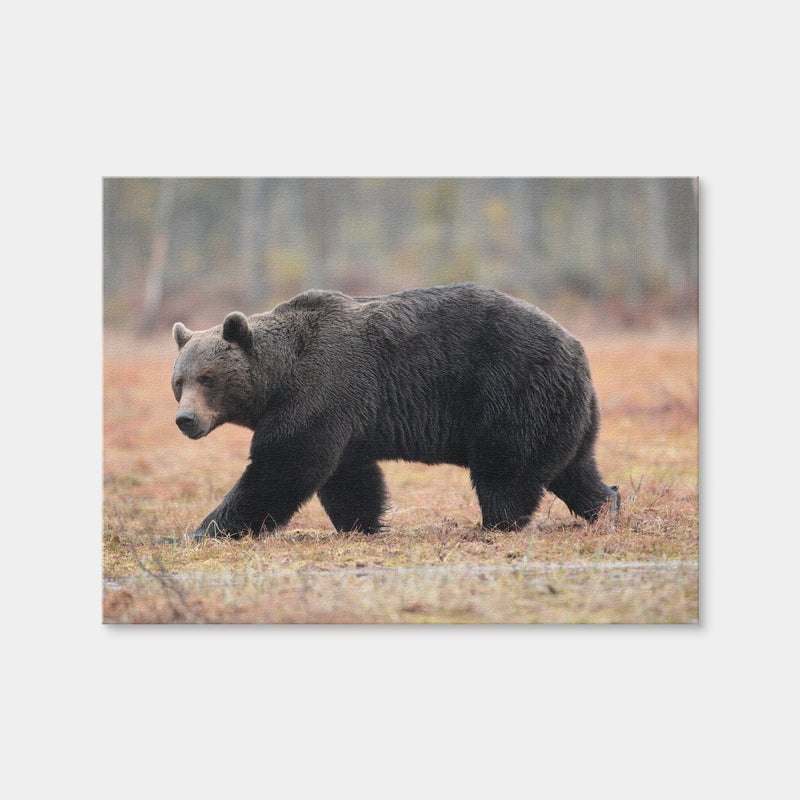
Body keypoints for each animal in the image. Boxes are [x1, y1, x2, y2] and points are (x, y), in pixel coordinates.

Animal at [171, 283, 619, 539]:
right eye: (179, 382)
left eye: (207, 378)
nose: (185, 420)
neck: (279, 378)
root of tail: (576, 345)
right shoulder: (345, 416)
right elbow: (349, 478)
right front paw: (361, 525)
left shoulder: (320, 390)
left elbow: (282, 467)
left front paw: (204, 530)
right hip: (565, 410)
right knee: (574, 469)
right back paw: (606, 506)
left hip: (511, 390)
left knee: (506, 469)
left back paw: (495, 524)